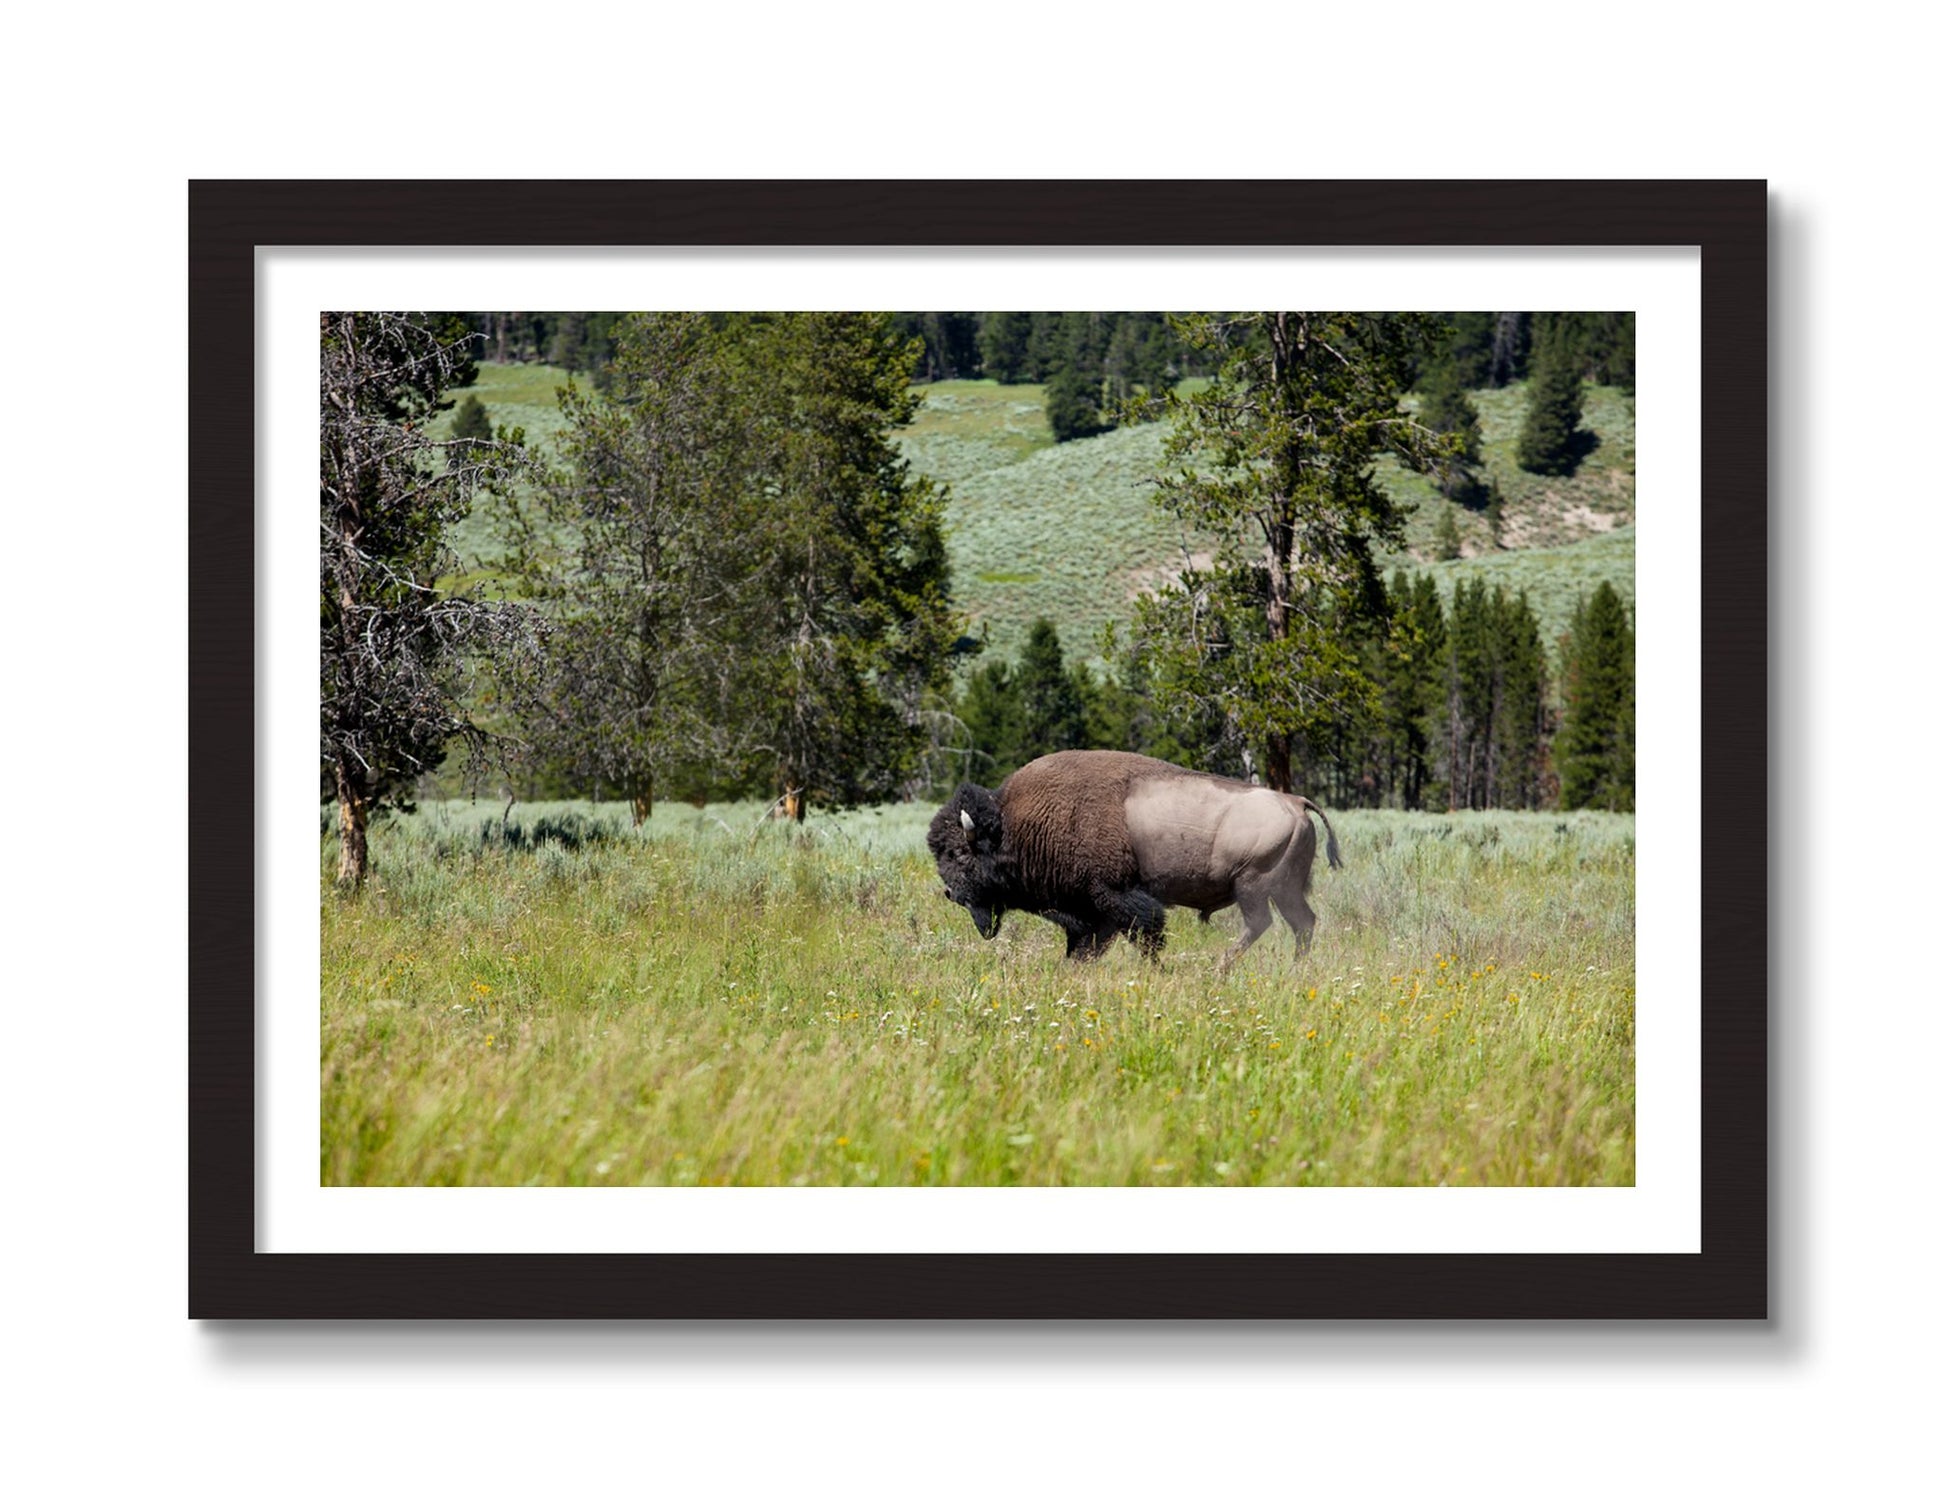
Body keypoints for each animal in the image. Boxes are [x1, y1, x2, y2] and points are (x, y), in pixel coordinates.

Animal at [926, 749, 1341, 971]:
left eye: (957, 853)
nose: (950, 893)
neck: (1015, 825)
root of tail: (1295, 802)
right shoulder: (1092, 912)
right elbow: (1087, 945)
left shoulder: (1116, 897)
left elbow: (1145, 935)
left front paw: (1158, 970)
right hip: (1285, 889)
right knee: (1302, 923)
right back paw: (1293, 968)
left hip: (1253, 885)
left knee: (1261, 923)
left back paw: (1219, 967)